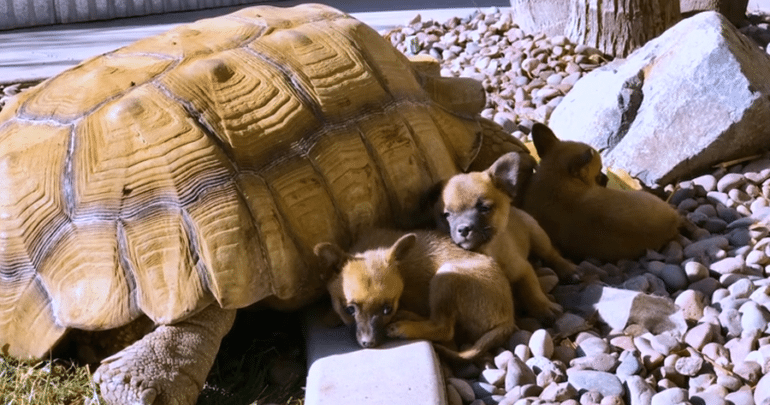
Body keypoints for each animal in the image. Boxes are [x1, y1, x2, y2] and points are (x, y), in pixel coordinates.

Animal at [312, 229, 516, 362]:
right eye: (349, 310)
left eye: (387, 309)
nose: (369, 343)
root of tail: (509, 319)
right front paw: (331, 316)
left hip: (446, 275)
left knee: (443, 327)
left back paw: (404, 326)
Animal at [438, 150, 576, 320]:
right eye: (446, 215)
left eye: (484, 208)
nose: (463, 229)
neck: (488, 250)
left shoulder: (523, 270)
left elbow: (532, 290)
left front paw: (543, 306)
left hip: (538, 238)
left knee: (552, 254)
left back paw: (568, 269)